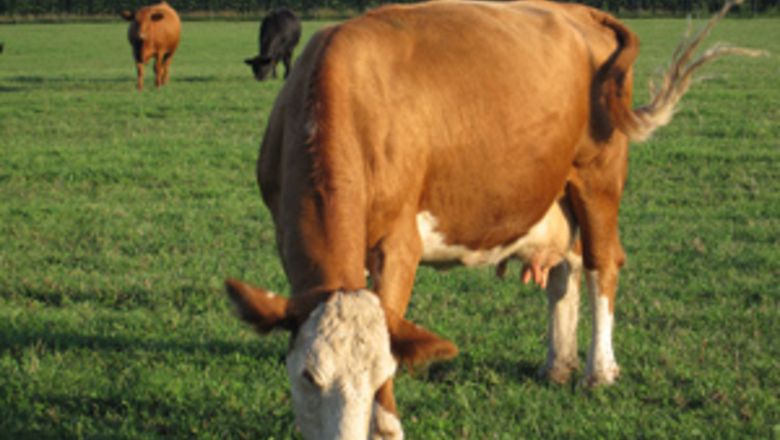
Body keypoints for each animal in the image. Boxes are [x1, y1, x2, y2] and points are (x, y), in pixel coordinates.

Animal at [224, 0, 762, 438]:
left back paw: (598, 371)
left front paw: (386, 426)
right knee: (565, 270)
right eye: (308, 376)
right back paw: (558, 364)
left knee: (602, 264)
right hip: (554, 189)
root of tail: (583, 12)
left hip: (599, 175)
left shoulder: (398, 243)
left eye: (380, 377)